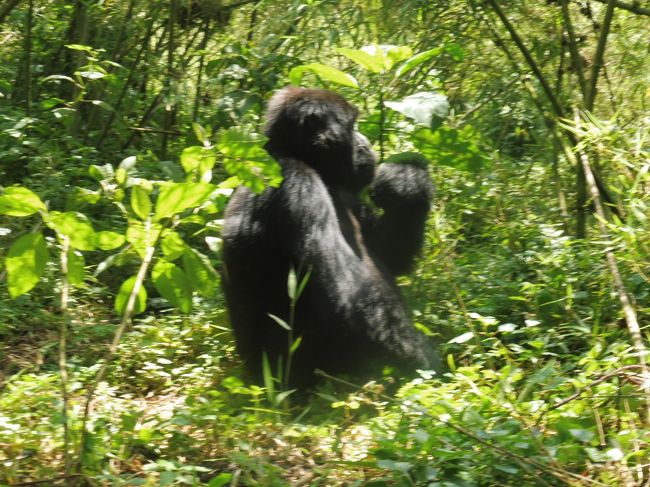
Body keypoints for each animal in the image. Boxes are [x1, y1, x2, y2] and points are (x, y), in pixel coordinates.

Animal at [220, 85, 432, 388]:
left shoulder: (348, 193)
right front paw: (425, 363)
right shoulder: (297, 183)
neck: (299, 155)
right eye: (352, 125)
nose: (365, 143)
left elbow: (389, 257)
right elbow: (346, 299)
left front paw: (408, 181)